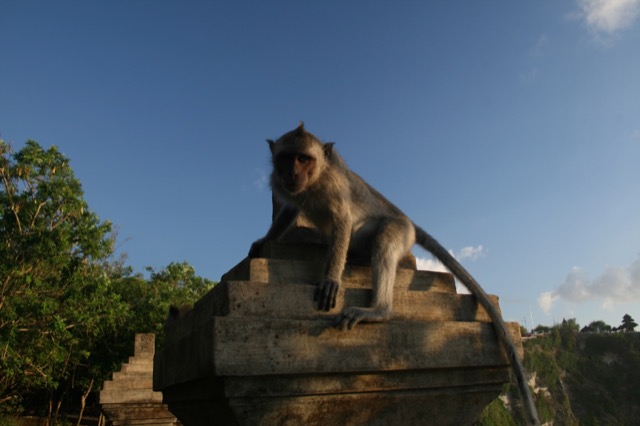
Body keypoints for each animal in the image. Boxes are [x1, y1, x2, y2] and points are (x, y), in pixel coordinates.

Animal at [250, 124, 540, 426]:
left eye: (304, 159)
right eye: (287, 158)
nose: (292, 173)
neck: (315, 181)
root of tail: (406, 219)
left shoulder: (334, 188)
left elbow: (342, 221)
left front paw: (331, 278)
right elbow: (290, 210)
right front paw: (264, 241)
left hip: (401, 230)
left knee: (385, 239)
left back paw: (379, 309)